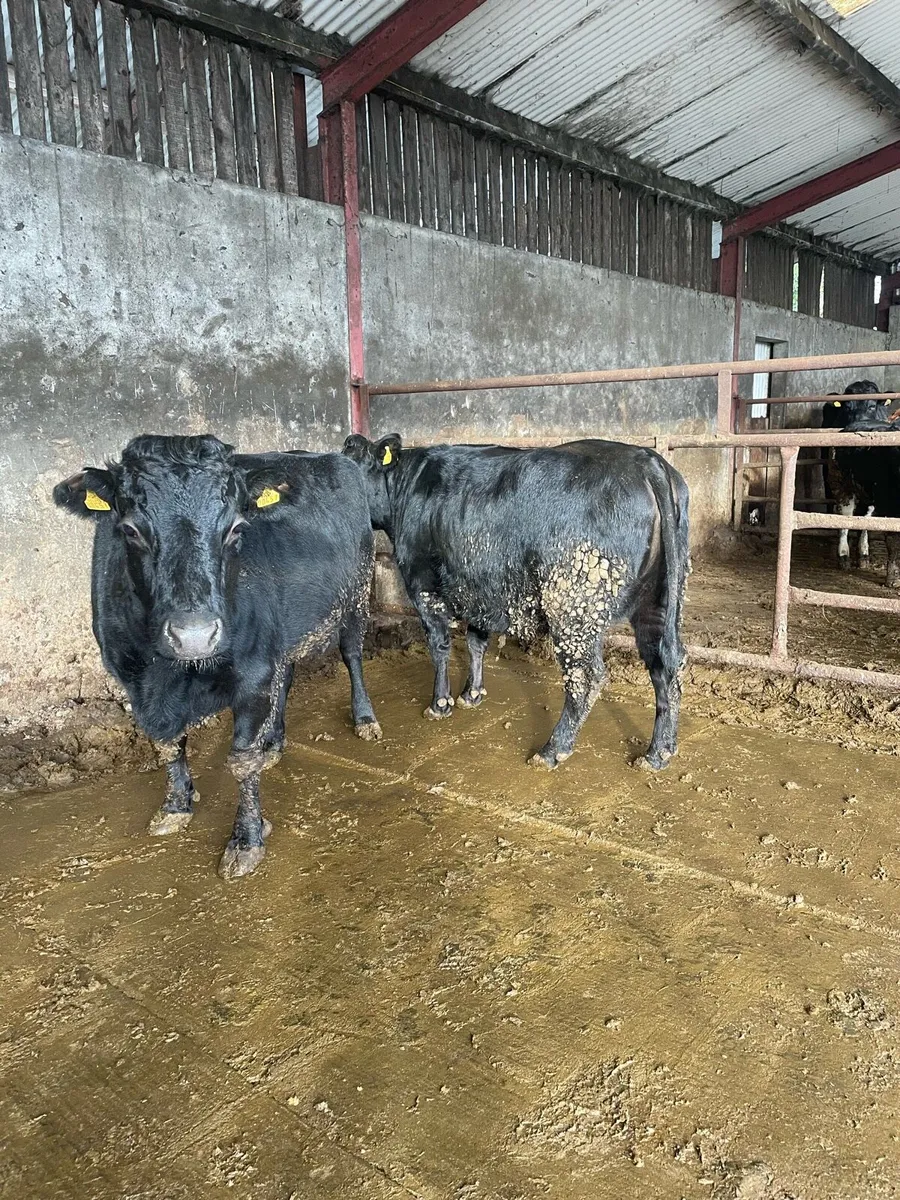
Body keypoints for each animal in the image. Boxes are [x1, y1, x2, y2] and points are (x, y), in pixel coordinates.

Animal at [54, 435, 381, 880]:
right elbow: (167, 745)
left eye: (236, 529)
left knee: (352, 654)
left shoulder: (253, 673)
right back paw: (273, 743)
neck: (169, 676)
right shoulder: (131, 679)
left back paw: (364, 718)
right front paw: (176, 805)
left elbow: (241, 761)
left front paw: (246, 839)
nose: (194, 635)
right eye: (130, 530)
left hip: (357, 593)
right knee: (287, 674)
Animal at [343, 434, 690, 771]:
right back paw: (658, 753)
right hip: (659, 598)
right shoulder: (479, 586)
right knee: (666, 664)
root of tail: (646, 460)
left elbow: (439, 645)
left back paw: (553, 750)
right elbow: (476, 640)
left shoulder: (422, 582)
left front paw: (440, 704)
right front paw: (471, 694)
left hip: (572, 603)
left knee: (586, 675)